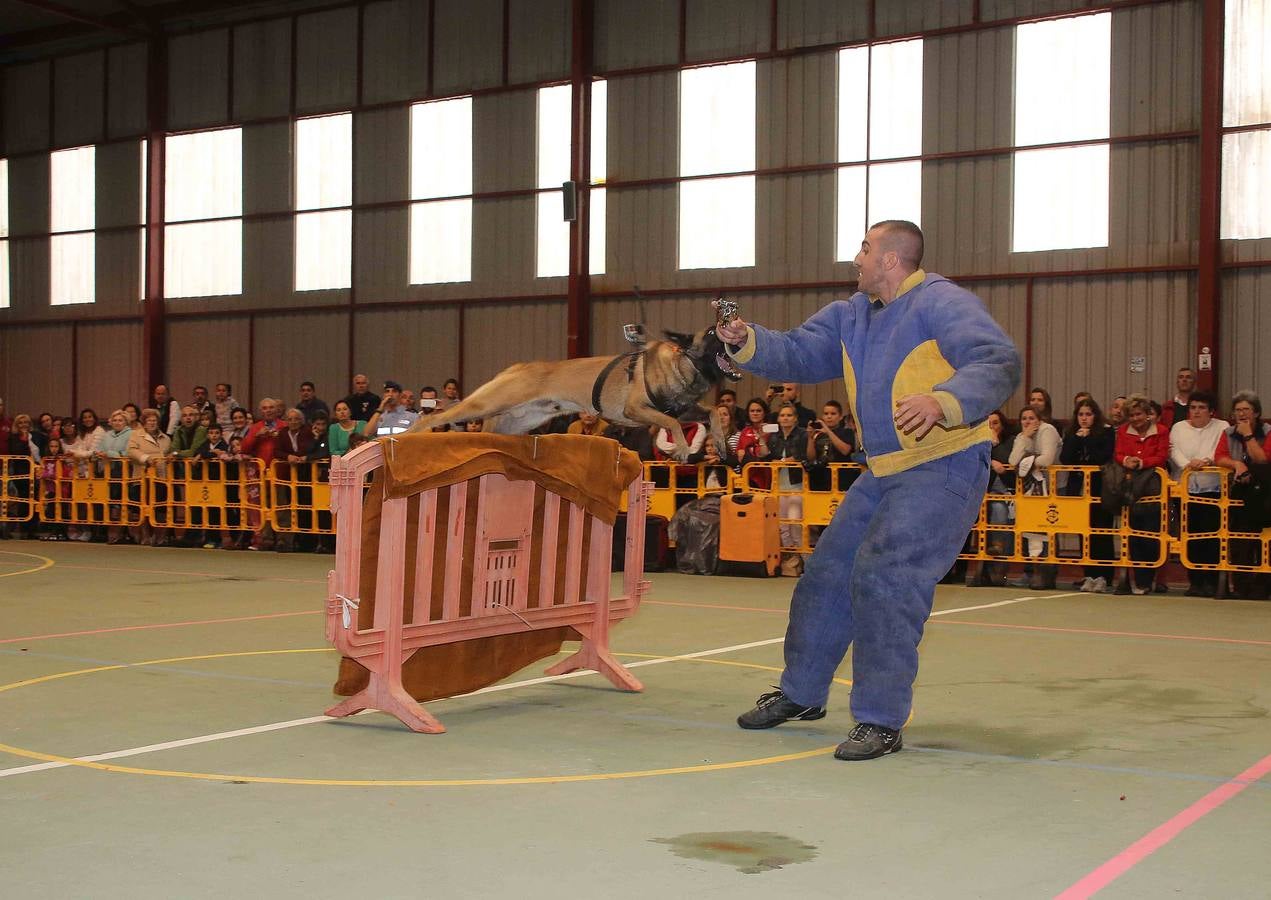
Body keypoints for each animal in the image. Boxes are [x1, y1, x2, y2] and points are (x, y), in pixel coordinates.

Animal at [406, 327, 742, 460]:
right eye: (712, 333)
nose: (738, 337)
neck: (681, 363)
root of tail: (517, 367)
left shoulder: (684, 408)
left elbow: (711, 411)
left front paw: (720, 443)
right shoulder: (637, 409)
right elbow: (672, 424)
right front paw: (684, 447)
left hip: (515, 422)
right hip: (486, 403)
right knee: (436, 415)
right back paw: (410, 434)